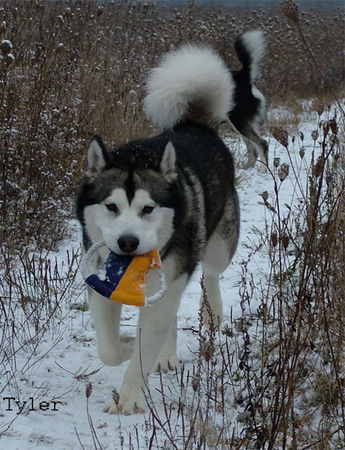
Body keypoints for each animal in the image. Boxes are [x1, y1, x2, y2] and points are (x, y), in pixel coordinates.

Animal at [76, 30, 266, 414]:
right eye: (111, 206)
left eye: (148, 208)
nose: (128, 243)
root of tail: (195, 124)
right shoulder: (101, 283)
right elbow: (109, 347)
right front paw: (124, 341)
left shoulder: (172, 276)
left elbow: (143, 349)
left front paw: (130, 399)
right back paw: (166, 353)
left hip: (216, 244)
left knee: (210, 273)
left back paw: (212, 312)